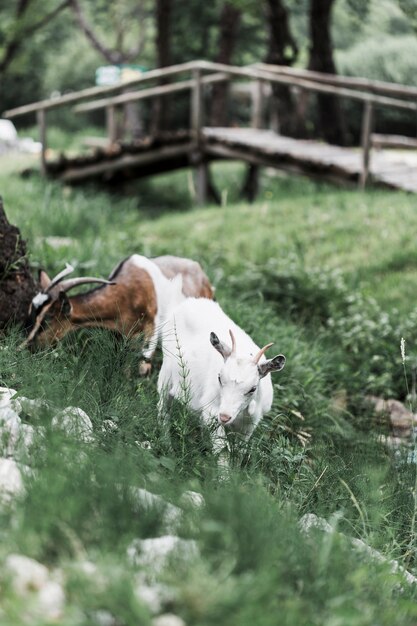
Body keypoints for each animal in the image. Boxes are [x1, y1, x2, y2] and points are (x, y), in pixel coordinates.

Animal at [23, 254, 213, 370]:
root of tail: (201, 272)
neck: (127, 289)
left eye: (48, 318)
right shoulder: (120, 334)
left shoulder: (152, 326)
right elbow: (121, 365)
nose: (26, 346)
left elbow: (143, 365)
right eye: (31, 310)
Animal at [158, 298, 284, 448]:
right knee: (163, 405)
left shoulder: (250, 424)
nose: (224, 417)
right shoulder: (211, 410)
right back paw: (166, 442)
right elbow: (222, 448)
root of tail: (188, 301)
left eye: (253, 389)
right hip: (166, 371)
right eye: (219, 378)